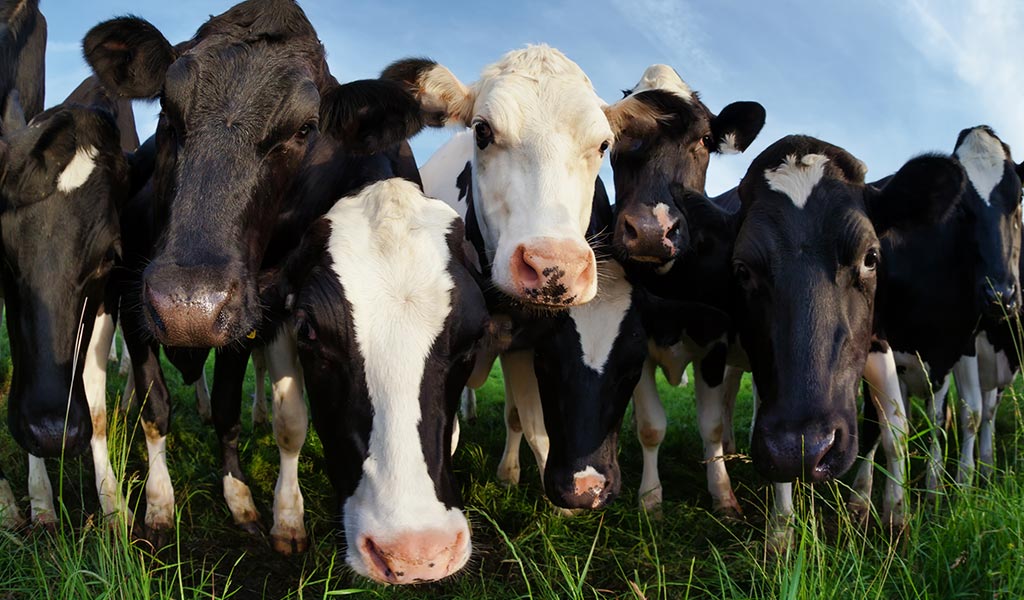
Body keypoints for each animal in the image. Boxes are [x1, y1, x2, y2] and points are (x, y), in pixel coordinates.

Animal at [82, 0, 428, 552]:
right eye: (166, 110)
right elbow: (156, 411)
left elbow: (233, 412)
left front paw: (246, 501)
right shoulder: (137, 312)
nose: (189, 306)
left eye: (306, 129)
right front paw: (158, 503)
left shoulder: (252, 319)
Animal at [729, 134, 966, 540]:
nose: (802, 450)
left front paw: (896, 517)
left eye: (870, 257)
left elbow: (893, 429)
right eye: (742, 269)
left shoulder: (881, 343)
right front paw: (780, 529)